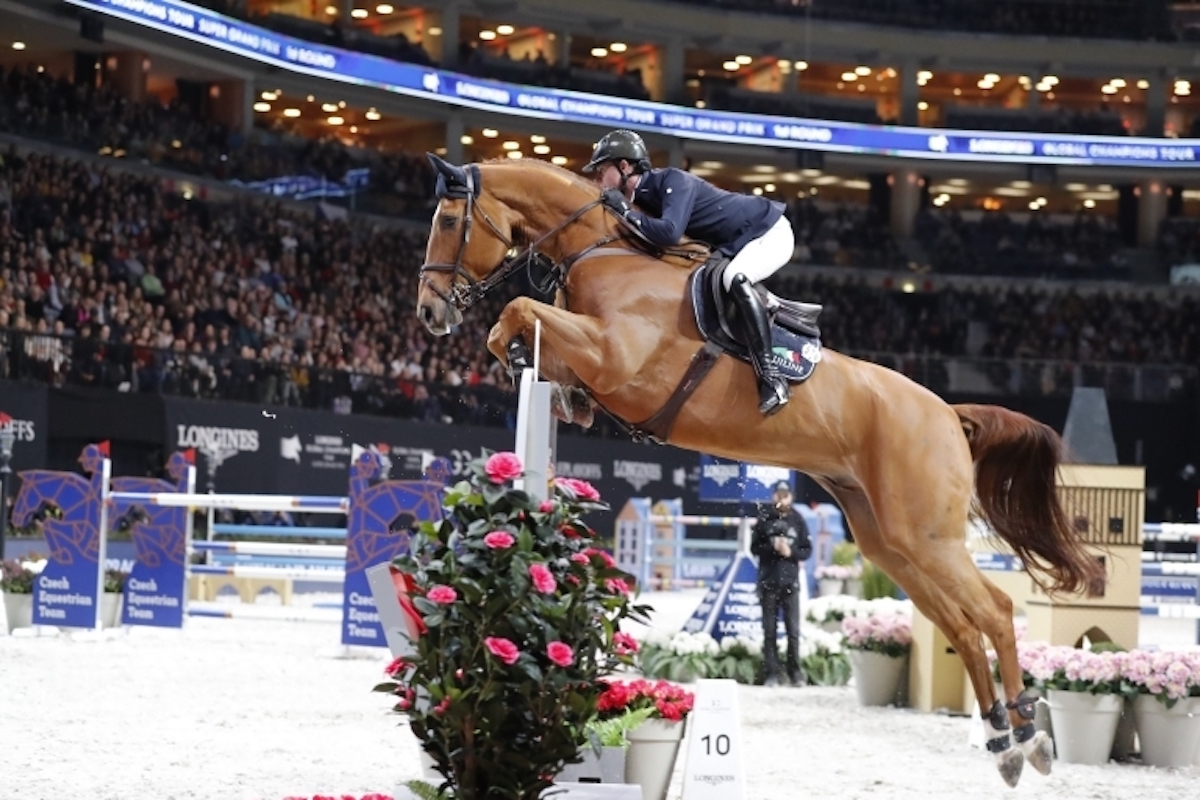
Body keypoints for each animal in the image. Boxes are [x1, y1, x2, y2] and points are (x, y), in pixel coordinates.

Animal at [415, 154, 1104, 782]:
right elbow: (532, 334)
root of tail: (948, 412)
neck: (601, 251)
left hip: (929, 536)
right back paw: (1002, 741)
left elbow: (518, 311)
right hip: (893, 542)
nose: (429, 313)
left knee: (993, 611)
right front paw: (556, 392)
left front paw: (515, 354)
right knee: (961, 624)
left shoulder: (615, 357)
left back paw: (1029, 734)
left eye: (448, 219)